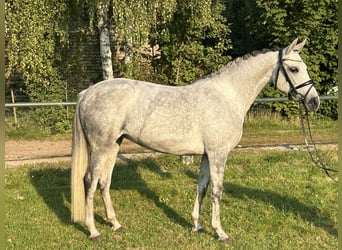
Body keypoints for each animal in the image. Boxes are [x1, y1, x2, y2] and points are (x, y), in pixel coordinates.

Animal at [71, 39, 320, 242]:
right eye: (294, 68)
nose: (314, 102)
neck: (227, 96)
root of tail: (87, 93)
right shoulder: (218, 153)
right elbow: (217, 191)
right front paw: (220, 232)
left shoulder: (207, 155)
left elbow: (202, 187)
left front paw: (197, 225)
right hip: (100, 147)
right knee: (90, 181)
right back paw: (94, 231)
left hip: (114, 145)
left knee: (104, 181)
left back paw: (115, 224)